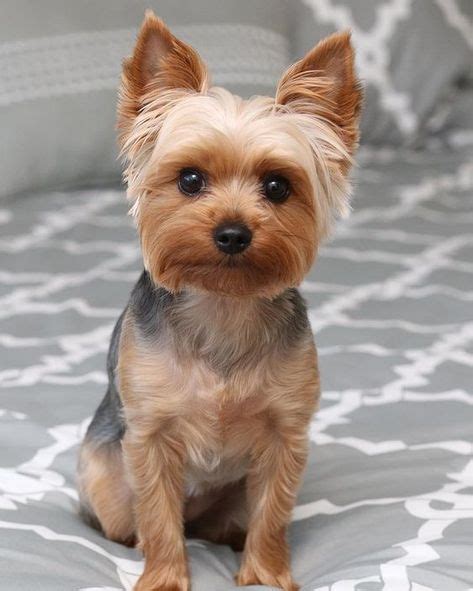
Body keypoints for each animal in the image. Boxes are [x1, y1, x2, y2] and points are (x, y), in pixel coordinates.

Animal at [77, 10, 360, 591]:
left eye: (277, 186)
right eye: (190, 179)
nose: (232, 233)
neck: (224, 305)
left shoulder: (285, 433)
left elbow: (272, 511)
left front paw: (265, 575)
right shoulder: (150, 436)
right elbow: (158, 516)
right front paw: (164, 577)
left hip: (230, 499)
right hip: (105, 479)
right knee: (130, 520)